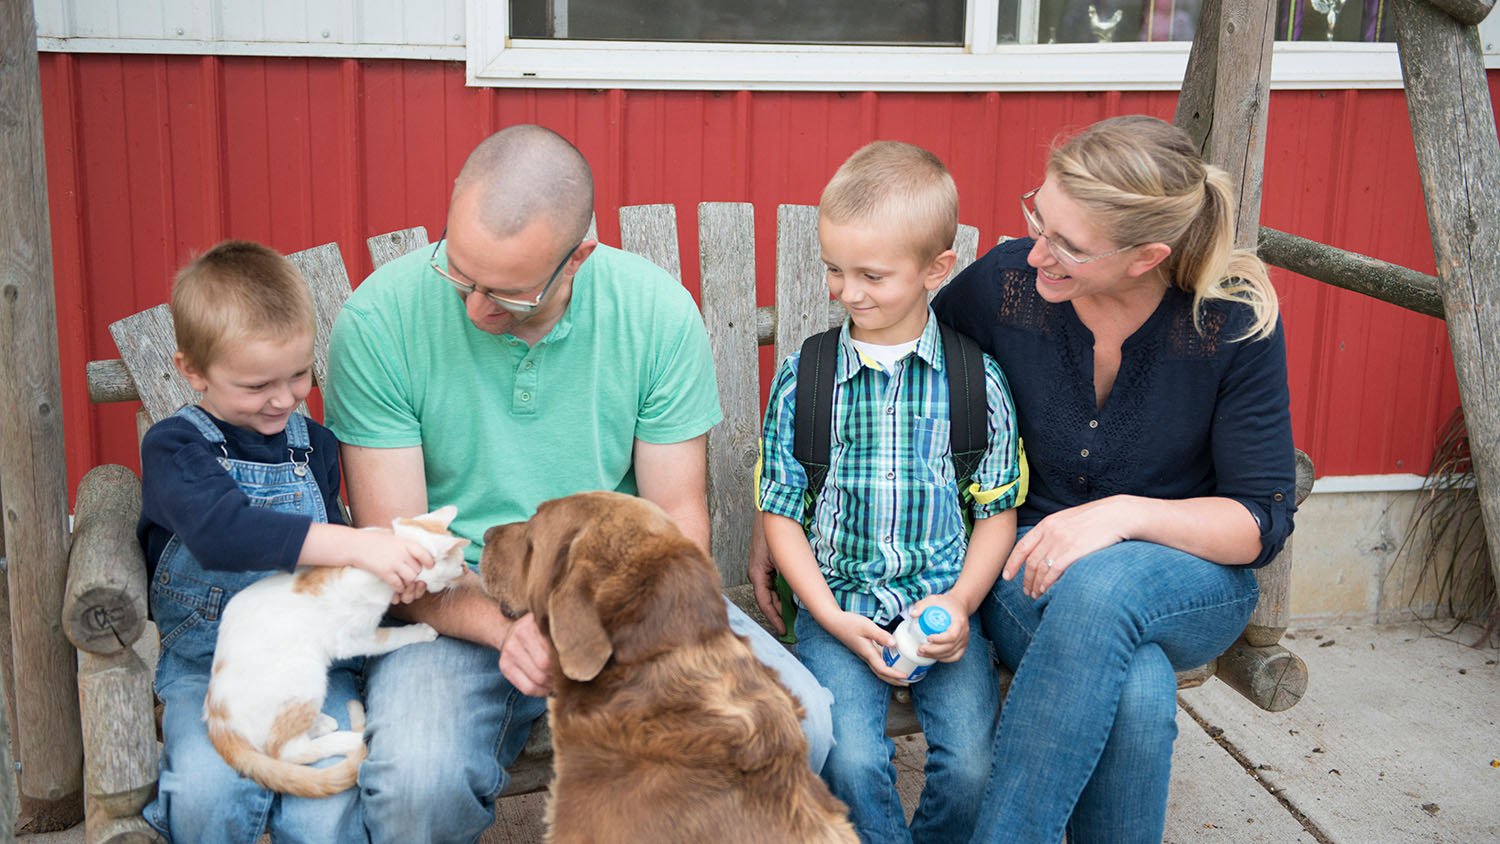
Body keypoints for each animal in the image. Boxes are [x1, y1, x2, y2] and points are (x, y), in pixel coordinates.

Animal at [201, 509, 468, 797]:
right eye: (459, 563)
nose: (467, 569)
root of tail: (218, 720)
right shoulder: (354, 638)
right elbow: (389, 638)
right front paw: (419, 631)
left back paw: (321, 723)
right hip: (304, 673)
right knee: (288, 752)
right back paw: (351, 739)